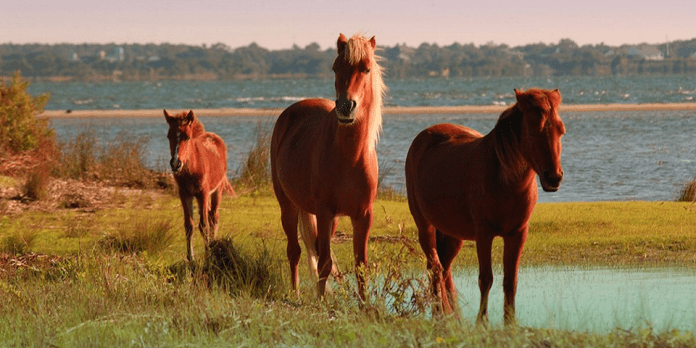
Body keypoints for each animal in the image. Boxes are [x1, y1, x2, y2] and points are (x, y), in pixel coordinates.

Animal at [163, 110, 234, 262]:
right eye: (169, 136)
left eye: (187, 137)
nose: (175, 163)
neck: (192, 167)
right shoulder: (184, 193)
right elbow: (189, 225)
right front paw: (191, 258)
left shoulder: (203, 193)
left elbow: (204, 225)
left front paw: (208, 255)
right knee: (209, 213)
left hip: (217, 190)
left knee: (214, 216)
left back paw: (213, 243)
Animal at [270, 32, 386, 300]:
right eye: (335, 67)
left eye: (366, 68)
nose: (345, 106)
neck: (350, 158)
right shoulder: (324, 212)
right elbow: (323, 262)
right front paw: (322, 302)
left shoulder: (363, 216)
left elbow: (360, 264)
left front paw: (365, 305)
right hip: (288, 205)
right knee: (295, 250)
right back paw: (296, 293)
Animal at [406, 88, 564, 324]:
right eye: (532, 132)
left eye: (561, 131)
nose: (553, 178)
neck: (505, 179)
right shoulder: (484, 234)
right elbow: (486, 278)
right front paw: (482, 321)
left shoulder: (518, 234)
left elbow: (510, 280)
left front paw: (510, 322)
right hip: (425, 226)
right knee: (435, 267)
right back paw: (440, 314)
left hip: (453, 234)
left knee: (444, 269)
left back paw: (452, 314)